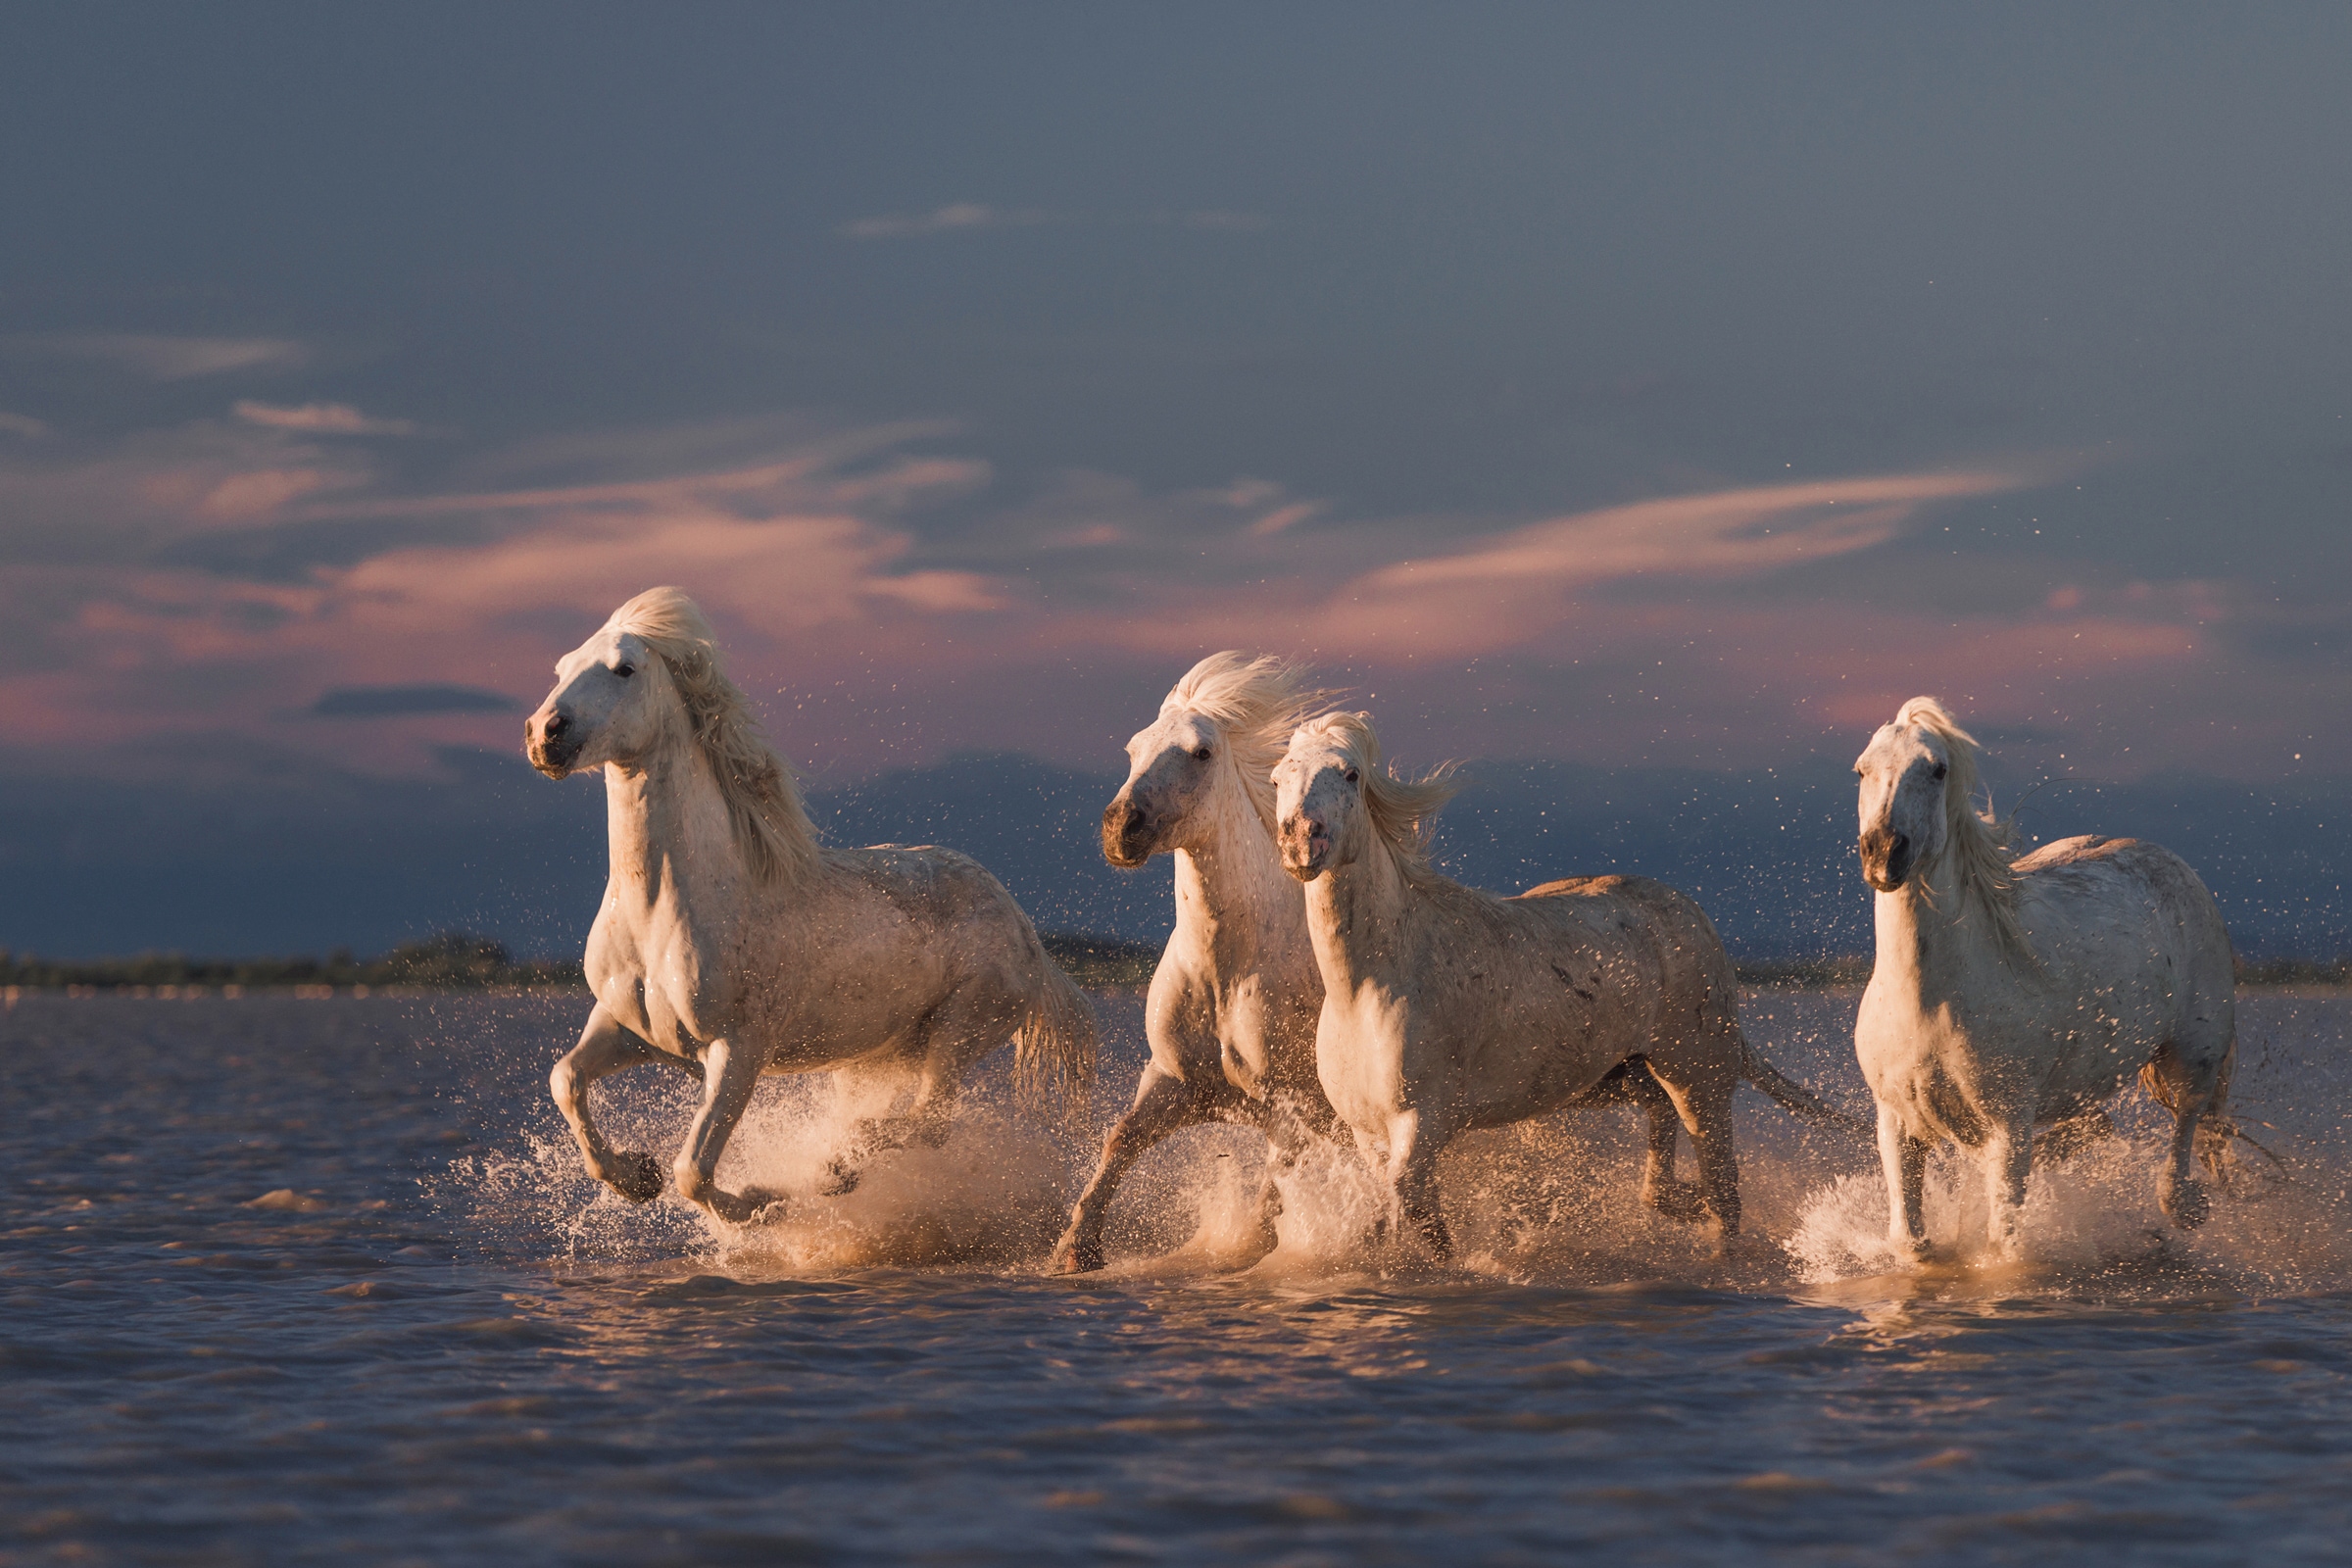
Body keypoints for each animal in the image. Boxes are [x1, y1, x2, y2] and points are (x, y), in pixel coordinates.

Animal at [524, 587, 1091, 1222]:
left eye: (624, 668)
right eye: (562, 667)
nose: (545, 734)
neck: (660, 913)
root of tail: (1025, 927)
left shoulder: (738, 1050)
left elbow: (693, 1170)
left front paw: (759, 1203)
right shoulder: (629, 1029)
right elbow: (565, 1078)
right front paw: (634, 1176)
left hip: (960, 1030)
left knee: (931, 1121)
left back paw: (839, 1166)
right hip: (880, 1056)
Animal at [1049, 649, 1345, 1278]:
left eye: (1201, 752)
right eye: (1133, 748)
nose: (1120, 826)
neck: (1227, 973)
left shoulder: (1297, 1099)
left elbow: (1282, 1172)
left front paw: (1259, 1246)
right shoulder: (1176, 1080)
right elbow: (1120, 1139)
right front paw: (1075, 1250)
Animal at [1279, 710, 1843, 1259]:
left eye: (1350, 774)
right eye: (1280, 776)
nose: (1301, 838)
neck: (1371, 985)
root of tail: (1693, 915)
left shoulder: (1422, 1123)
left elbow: (1407, 1215)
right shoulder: (1368, 1134)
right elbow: (1420, 1224)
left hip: (1698, 1076)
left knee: (1724, 1190)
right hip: (1614, 1079)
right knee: (1664, 1129)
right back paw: (1677, 1202)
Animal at [1853, 700, 2238, 1259]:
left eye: (1937, 769)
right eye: (1861, 770)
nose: (1884, 853)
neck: (1930, 1000)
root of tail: (2172, 863)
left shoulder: (2009, 1125)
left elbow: (2002, 1242)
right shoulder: (1897, 1120)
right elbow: (1910, 1239)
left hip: (2194, 1052)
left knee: (2188, 1118)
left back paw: (2183, 1206)